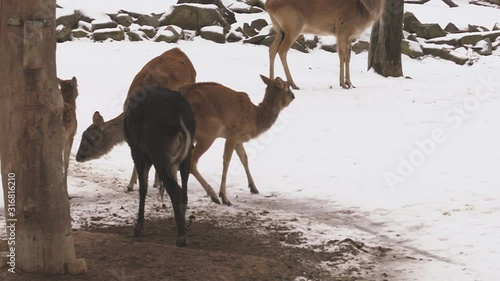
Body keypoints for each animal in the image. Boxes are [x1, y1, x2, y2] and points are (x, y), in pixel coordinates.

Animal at [124, 85, 196, 245]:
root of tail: (180, 113)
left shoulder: (138, 150)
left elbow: (143, 188)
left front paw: (138, 228)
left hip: (158, 153)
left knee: (175, 190)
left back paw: (181, 238)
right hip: (187, 153)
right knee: (184, 189)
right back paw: (184, 227)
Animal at [180, 75, 294, 205]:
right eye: (287, 87)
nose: (293, 96)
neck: (255, 118)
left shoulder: (239, 140)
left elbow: (244, 158)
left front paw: (254, 188)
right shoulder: (233, 136)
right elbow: (227, 161)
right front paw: (224, 196)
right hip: (208, 132)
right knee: (191, 162)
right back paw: (213, 195)